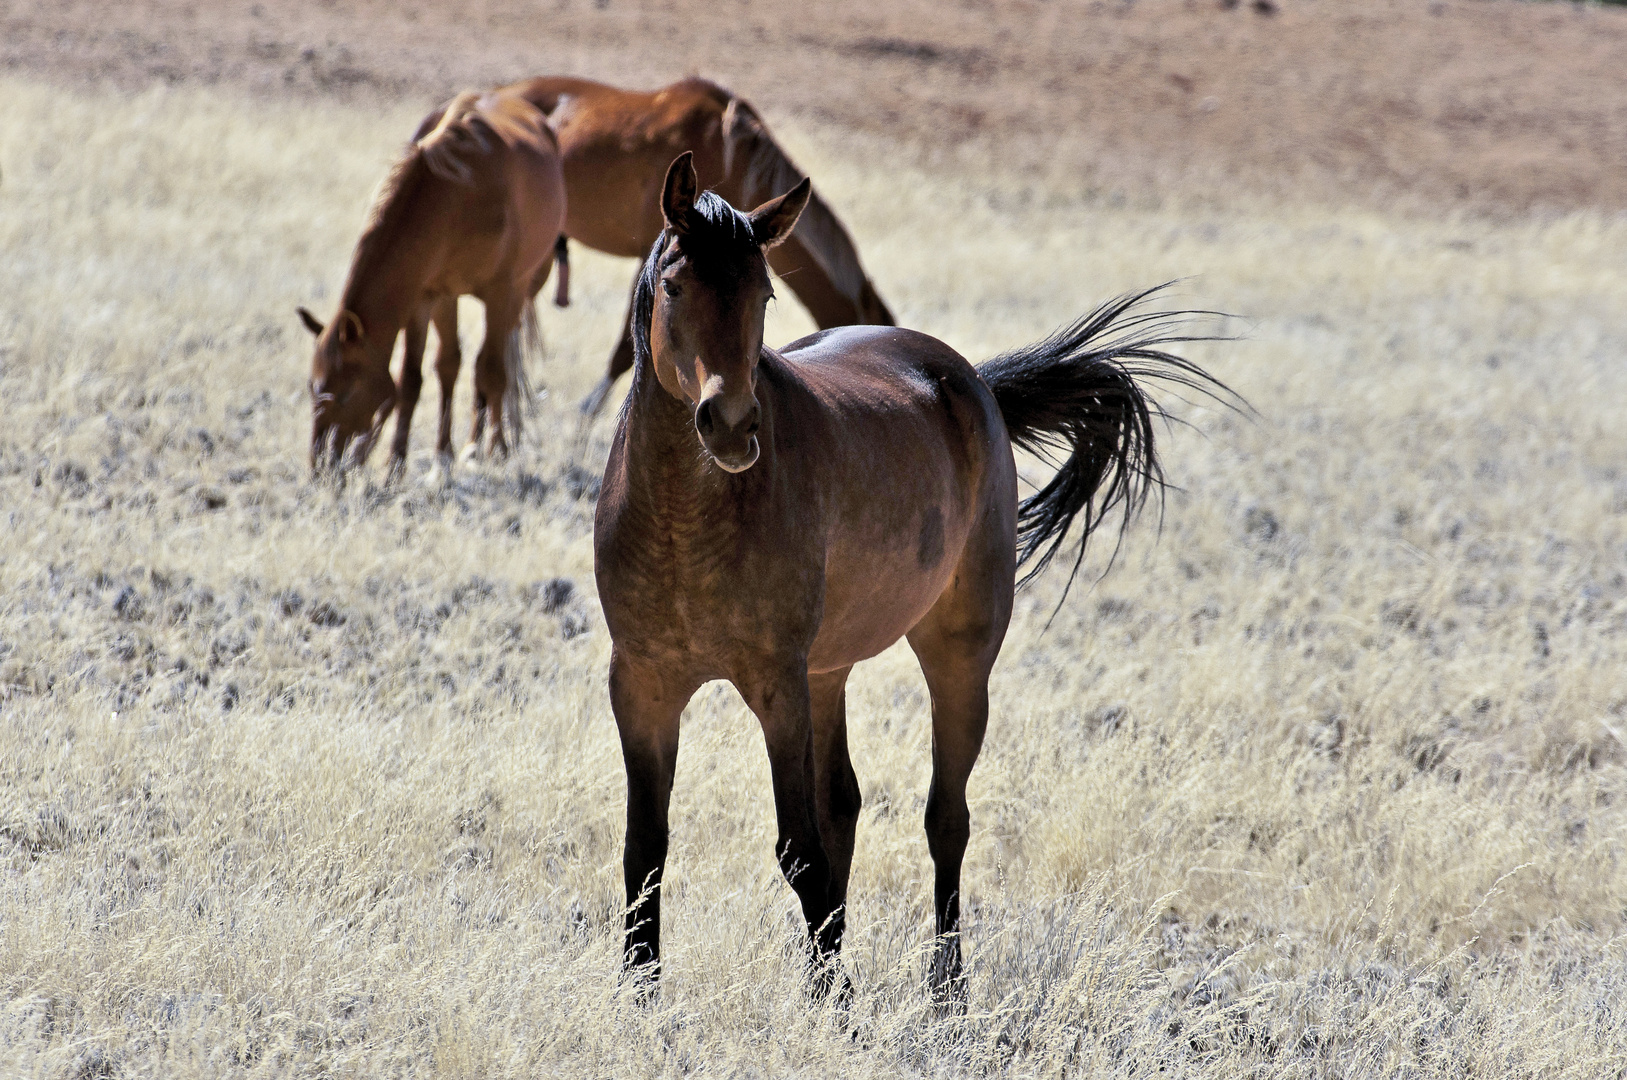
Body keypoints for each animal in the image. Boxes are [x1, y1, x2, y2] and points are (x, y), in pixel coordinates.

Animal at [299, 87, 566, 468]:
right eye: (312, 386)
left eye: (347, 392)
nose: (321, 465)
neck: (460, 197)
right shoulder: (430, 296)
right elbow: (419, 377)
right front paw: (412, 461)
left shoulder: (500, 293)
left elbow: (493, 371)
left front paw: (495, 448)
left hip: (518, 293)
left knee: (497, 364)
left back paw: (488, 443)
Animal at [598, 153, 1230, 1001]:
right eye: (673, 287)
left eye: (763, 294)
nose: (730, 426)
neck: (682, 522)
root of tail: (968, 380)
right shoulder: (643, 684)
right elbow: (647, 847)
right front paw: (642, 997)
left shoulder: (774, 685)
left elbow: (797, 849)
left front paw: (840, 1004)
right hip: (826, 671)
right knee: (843, 807)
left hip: (954, 653)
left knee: (944, 818)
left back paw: (947, 988)